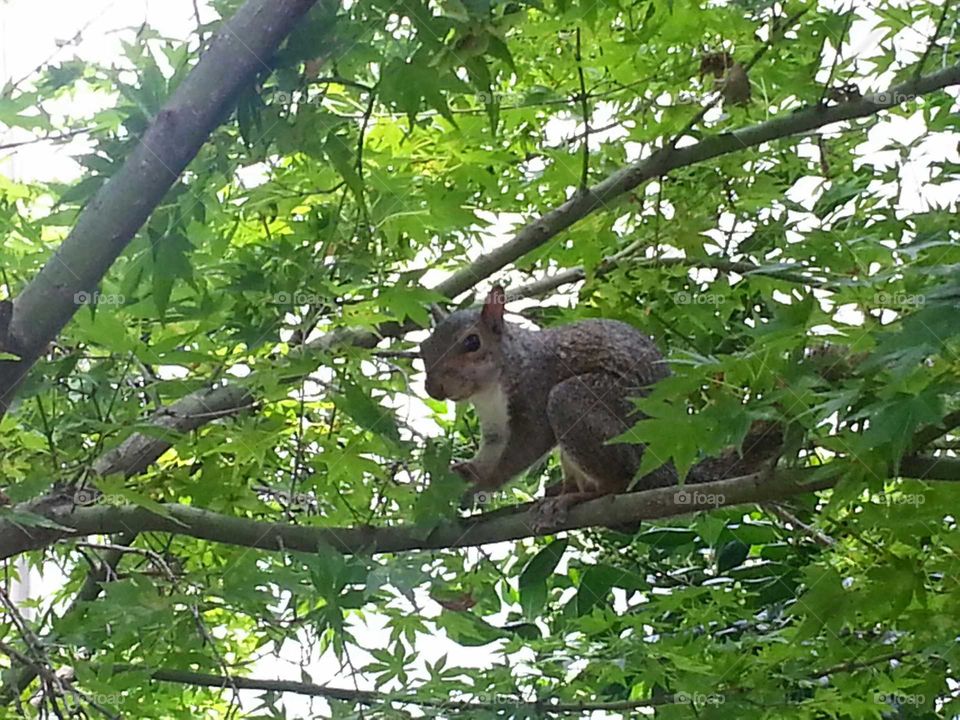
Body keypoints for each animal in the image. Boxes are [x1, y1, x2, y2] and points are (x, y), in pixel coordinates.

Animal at [420, 285, 677, 529]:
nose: (433, 389)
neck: (489, 389)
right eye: (423, 347)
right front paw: (466, 470)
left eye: (472, 342)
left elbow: (525, 448)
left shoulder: (536, 389)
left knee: (619, 483)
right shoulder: (495, 420)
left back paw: (576, 497)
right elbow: (492, 449)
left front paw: (480, 488)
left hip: (592, 410)